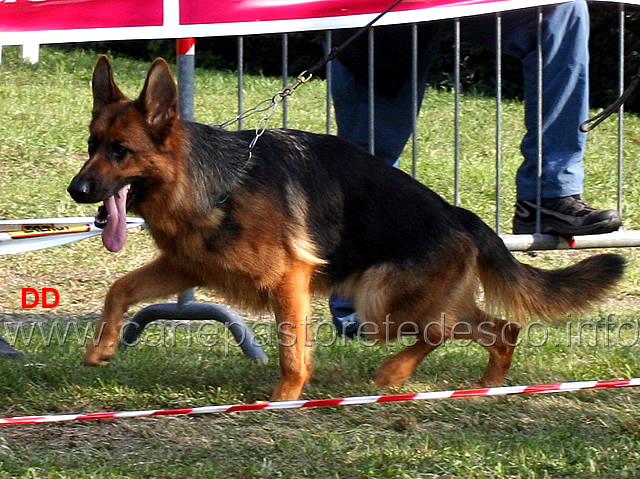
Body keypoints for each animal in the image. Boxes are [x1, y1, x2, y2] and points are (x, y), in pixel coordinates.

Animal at [69, 55, 624, 402]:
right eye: (92, 145)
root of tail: (459, 214)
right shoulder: (186, 267)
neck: (210, 181)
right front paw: (101, 347)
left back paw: (396, 372)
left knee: (444, 330)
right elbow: (120, 288)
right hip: (400, 302)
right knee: (500, 328)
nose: (76, 190)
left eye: (120, 151)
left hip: (381, 305)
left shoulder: (289, 280)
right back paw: (486, 384)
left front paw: (283, 400)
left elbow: (292, 352)